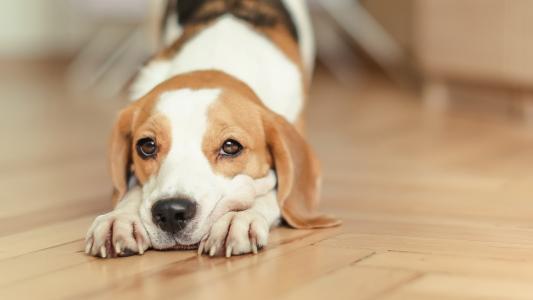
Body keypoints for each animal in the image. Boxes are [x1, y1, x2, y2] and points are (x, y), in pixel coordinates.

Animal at [85, 0, 338, 258]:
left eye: (231, 146)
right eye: (146, 146)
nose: (171, 212)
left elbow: (273, 192)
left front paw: (239, 218)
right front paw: (121, 217)